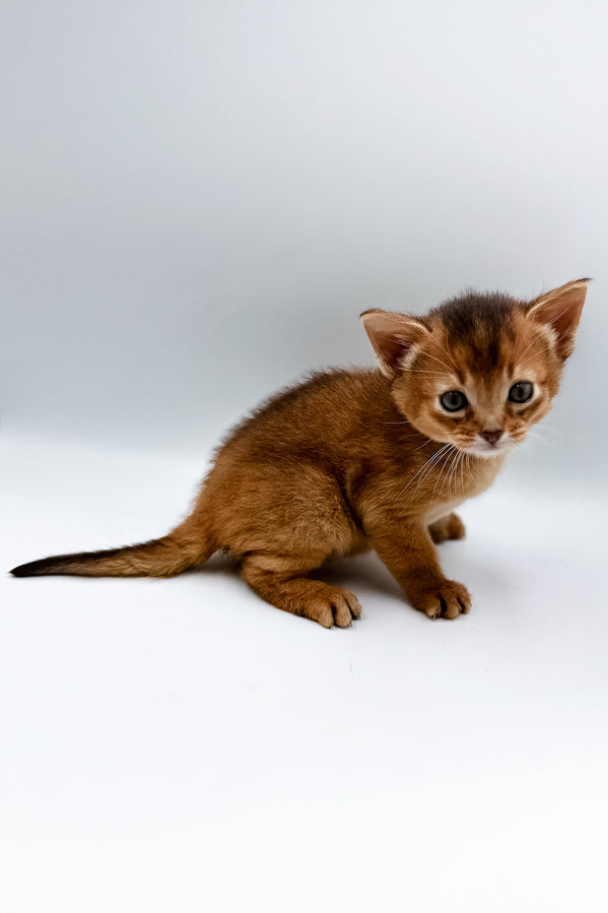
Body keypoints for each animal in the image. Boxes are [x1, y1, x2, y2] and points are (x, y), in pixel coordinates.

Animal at [10, 278, 589, 627]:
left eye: (520, 391)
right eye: (453, 400)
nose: (492, 433)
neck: (444, 448)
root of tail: (206, 506)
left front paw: (445, 525)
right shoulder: (381, 506)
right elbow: (411, 555)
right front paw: (435, 588)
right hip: (320, 503)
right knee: (253, 568)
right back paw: (320, 596)